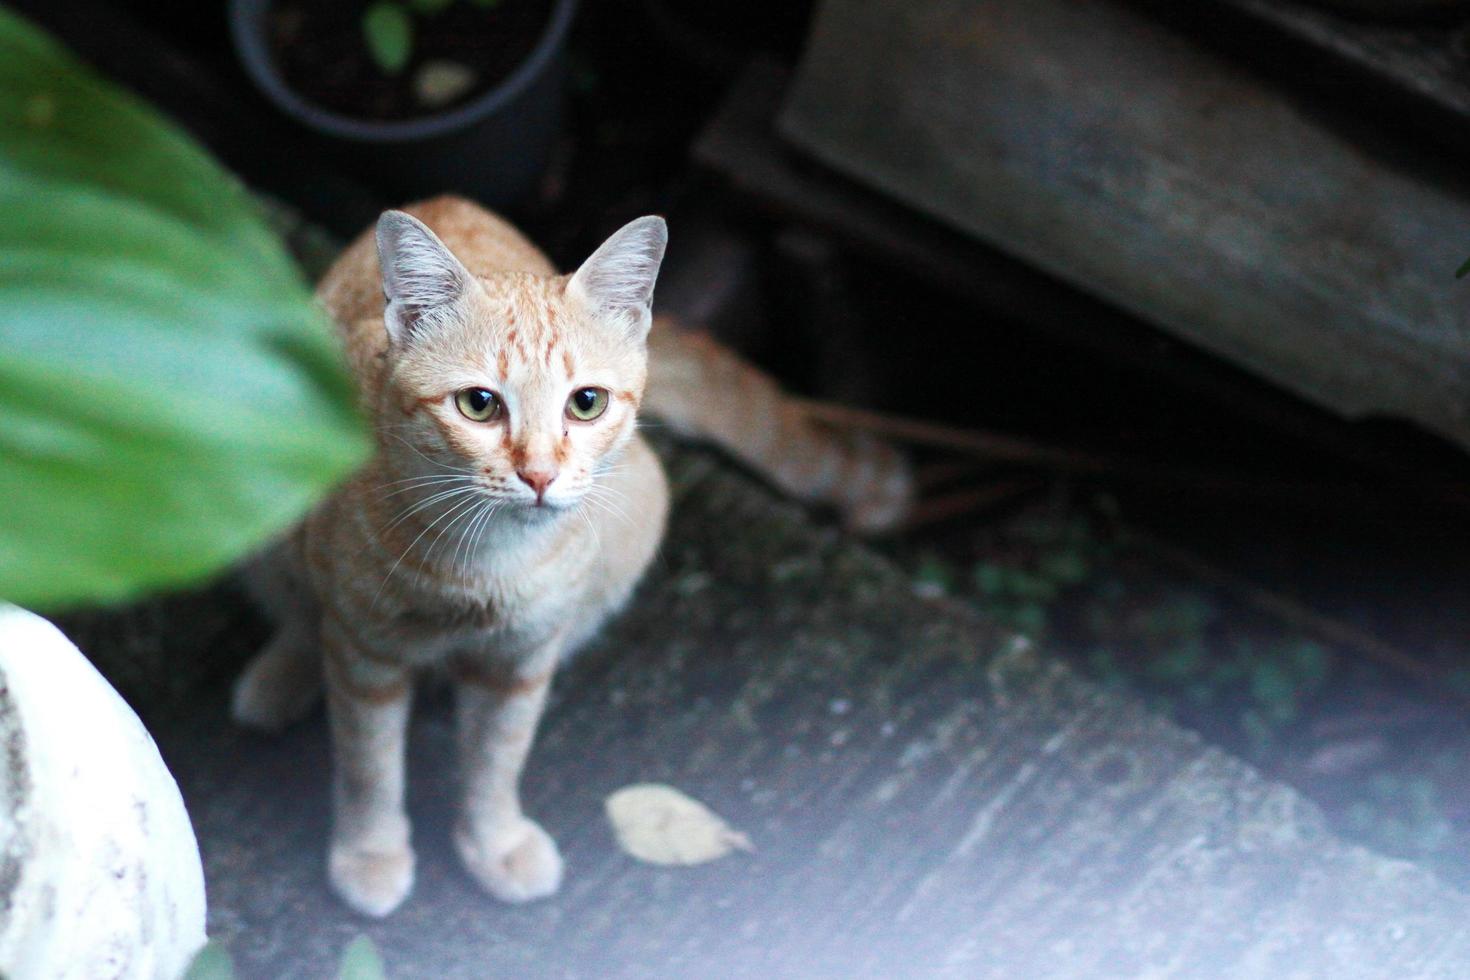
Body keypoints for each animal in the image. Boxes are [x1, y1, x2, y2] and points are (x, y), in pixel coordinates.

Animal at [232, 195, 905, 916]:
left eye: (586, 403)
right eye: (479, 404)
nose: (539, 474)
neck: (486, 564)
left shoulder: (524, 660)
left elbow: (498, 758)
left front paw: (493, 843)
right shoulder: (368, 656)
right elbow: (369, 765)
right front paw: (371, 852)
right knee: (304, 616)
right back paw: (282, 678)